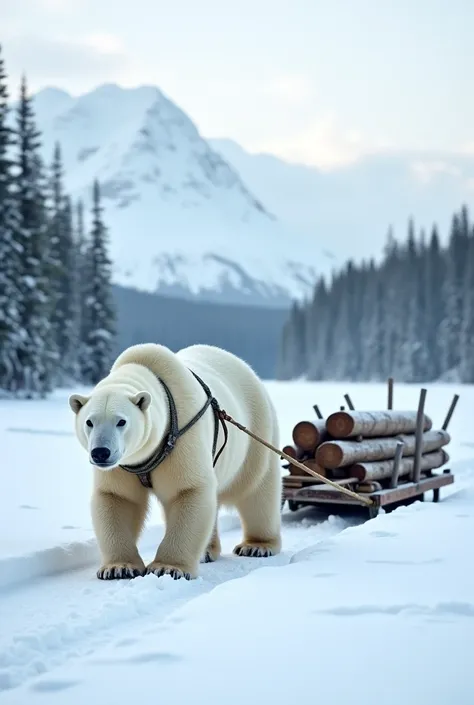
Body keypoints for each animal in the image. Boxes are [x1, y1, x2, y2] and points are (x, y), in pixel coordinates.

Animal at [67, 344, 282, 580]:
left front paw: (167, 568)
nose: (100, 453)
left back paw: (257, 546)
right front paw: (118, 568)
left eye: (121, 421)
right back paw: (206, 551)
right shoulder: (124, 465)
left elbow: (188, 490)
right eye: (89, 422)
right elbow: (118, 497)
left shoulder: (180, 436)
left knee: (256, 491)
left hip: (256, 433)